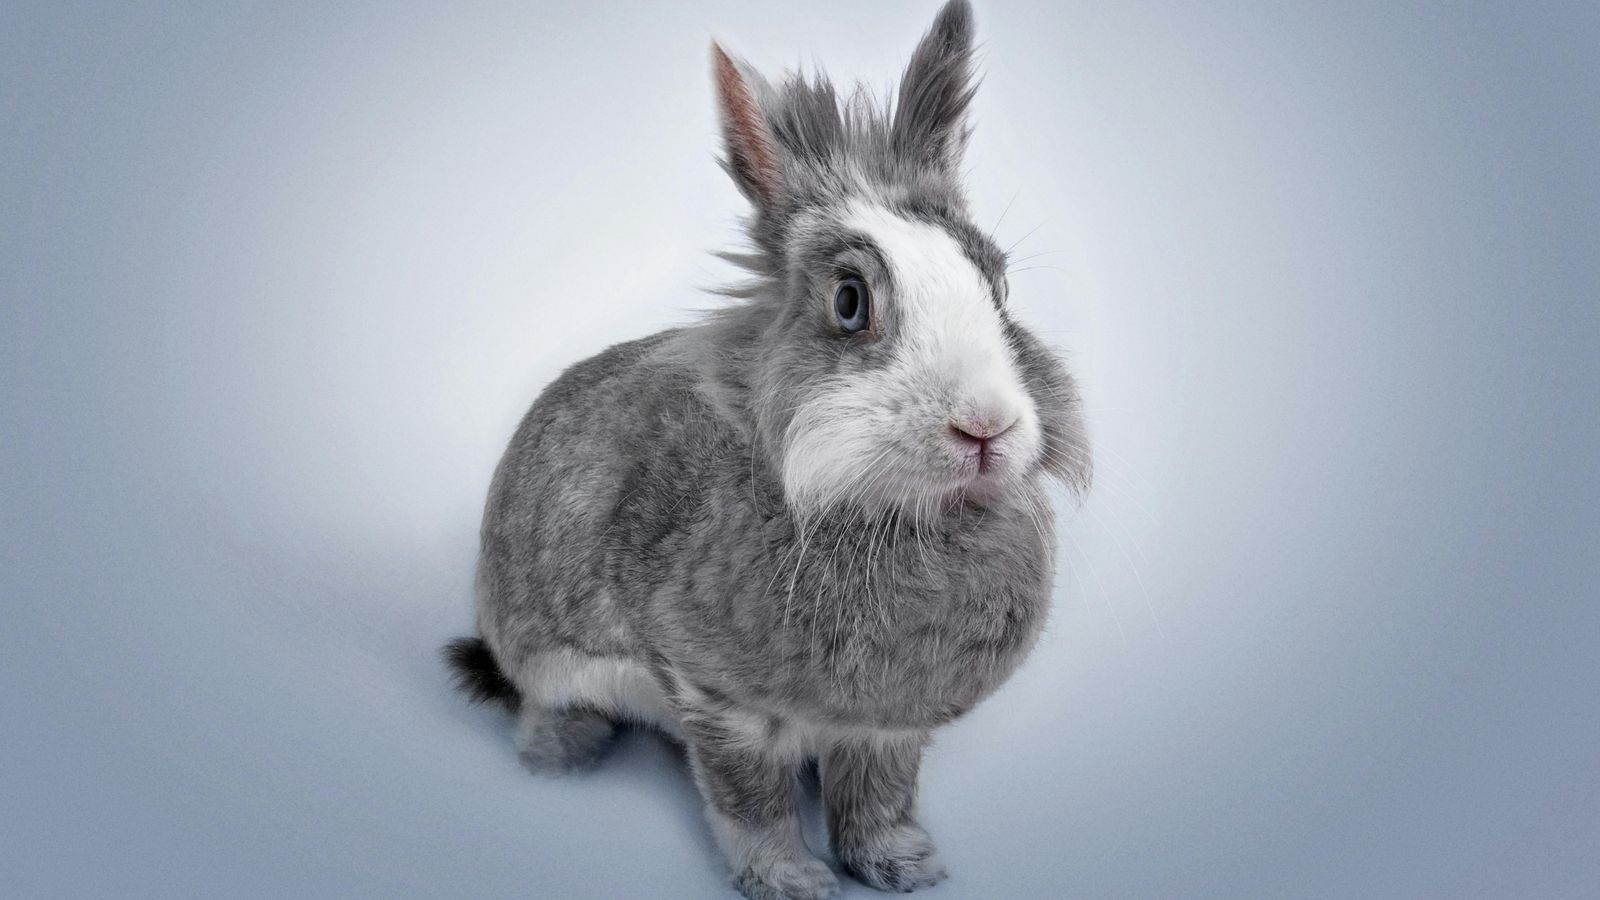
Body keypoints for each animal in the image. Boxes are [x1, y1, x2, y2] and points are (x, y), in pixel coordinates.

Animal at [445, 2, 1090, 897]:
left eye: (998, 286)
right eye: (850, 302)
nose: (986, 426)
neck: (888, 513)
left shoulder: (886, 728)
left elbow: (879, 795)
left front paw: (903, 866)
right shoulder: (719, 702)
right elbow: (749, 802)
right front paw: (793, 881)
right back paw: (563, 758)